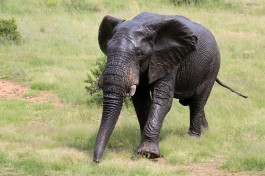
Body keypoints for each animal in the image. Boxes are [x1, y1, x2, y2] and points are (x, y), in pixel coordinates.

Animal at [92, 12, 245, 163]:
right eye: (107, 50)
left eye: (139, 54)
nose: (97, 161)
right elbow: (141, 100)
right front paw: (144, 148)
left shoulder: (167, 57)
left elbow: (163, 100)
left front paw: (148, 153)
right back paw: (206, 132)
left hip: (212, 67)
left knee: (197, 102)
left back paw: (194, 137)